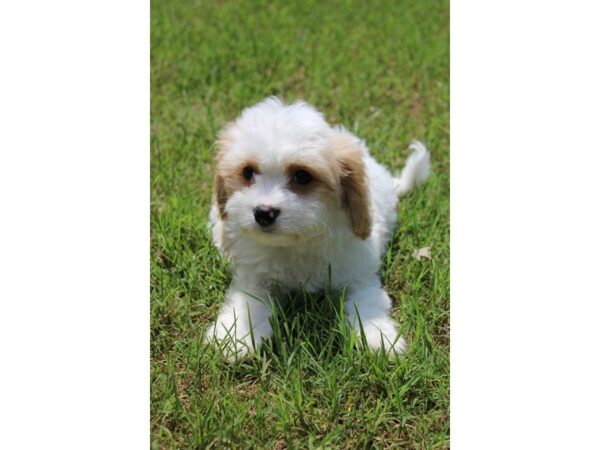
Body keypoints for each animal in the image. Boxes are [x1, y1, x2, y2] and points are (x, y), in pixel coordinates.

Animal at [207, 97, 432, 358]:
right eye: (248, 172)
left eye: (302, 176)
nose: (263, 213)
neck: (296, 243)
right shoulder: (254, 278)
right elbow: (249, 302)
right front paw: (236, 336)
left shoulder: (358, 273)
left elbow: (367, 301)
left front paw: (378, 335)